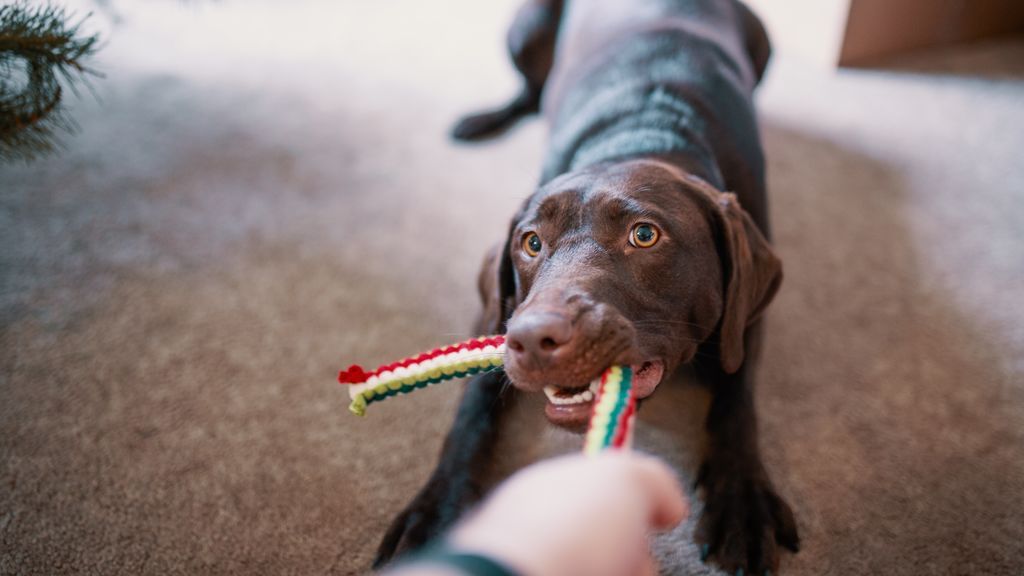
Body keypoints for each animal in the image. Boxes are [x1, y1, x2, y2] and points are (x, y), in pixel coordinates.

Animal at [376, 0, 798, 569]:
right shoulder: (497, 314)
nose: (534, 339)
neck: (644, 134)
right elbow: (472, 408)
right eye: (531, 242)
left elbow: (737, 397)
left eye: (645, 234)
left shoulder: (745, 317)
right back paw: (483, 119)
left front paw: (742, 501)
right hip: (526, 27)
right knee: (530, 93)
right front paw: (436, 509)